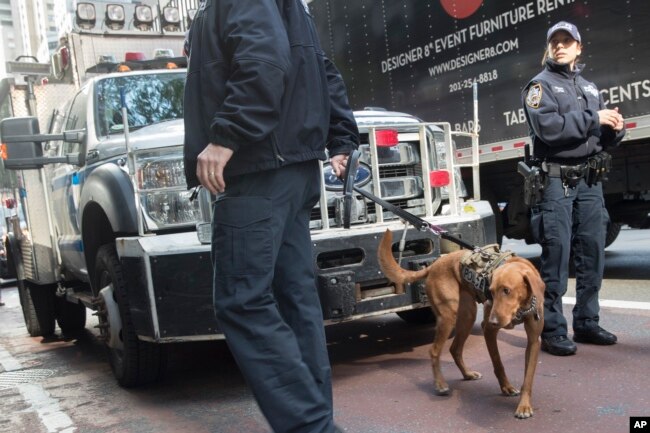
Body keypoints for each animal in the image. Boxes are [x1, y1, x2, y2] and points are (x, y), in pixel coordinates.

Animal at [378, 228, 544, 416]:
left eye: (507, 290)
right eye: (491, 291)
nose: (493, 321)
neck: (521, 307)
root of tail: (434, 265)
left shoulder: (533, 341)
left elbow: (528, 377)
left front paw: (524, 405)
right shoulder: (488, 330)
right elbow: (498, 363)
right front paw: (506, 388)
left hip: (467, 316)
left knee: (455, 349)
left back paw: (467, 374)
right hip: (448, 316)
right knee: (434, 351)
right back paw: (440, 384)